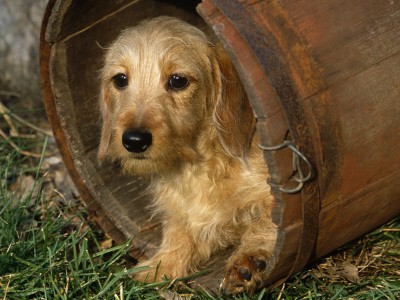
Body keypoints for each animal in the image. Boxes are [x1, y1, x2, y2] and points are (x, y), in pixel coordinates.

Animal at [98, 16, 276, 292]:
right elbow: (179, 238)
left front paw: (249, 259)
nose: (134, 140)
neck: (198, 167)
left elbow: (267, 221)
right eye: (120, 80)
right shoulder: (184, 217)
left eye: (178, 80)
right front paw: (153, 269)